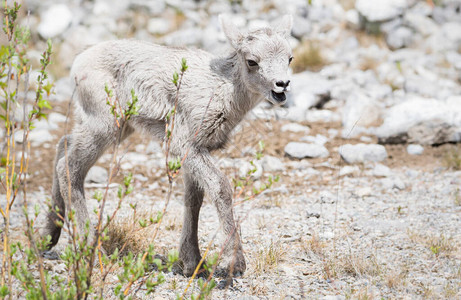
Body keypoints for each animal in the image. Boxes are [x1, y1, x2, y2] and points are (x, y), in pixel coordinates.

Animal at [44, 14, 294, 276]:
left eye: (289, 58)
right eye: (252, 61)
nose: (282, 84)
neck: (222, 90)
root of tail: (79, 62)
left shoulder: (195, 153)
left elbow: (194, 200)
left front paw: (192, 263)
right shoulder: (185, 145)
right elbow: (220, 187)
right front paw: (234, 262)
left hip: (113, 125)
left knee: (63, 144)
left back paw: (49, 236)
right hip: (105, 123)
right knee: (70, 167)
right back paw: (92, 249)